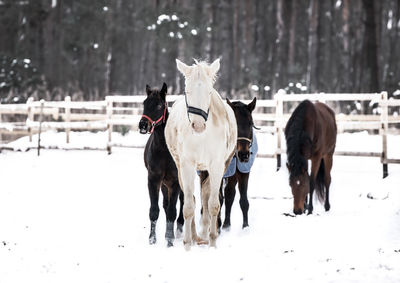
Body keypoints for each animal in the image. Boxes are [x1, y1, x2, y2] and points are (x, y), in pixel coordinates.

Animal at [166, 58, 238, 250]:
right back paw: (194, 236)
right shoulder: (186, 165)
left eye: (209, 91)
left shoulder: (217, 165)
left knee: (205, 195)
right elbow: (188, 206)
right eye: (187, 91)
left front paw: (212, 242)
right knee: (191, 197)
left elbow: (213, 204)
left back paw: (205, 234)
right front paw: (187, 244)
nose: (198, 126)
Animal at [220, 98, 258, 230]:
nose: (244, 154)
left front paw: (245, 226)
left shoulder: (243, 171)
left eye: (250, 123)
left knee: (230, 193)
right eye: (234, 124)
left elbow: (242, 200)